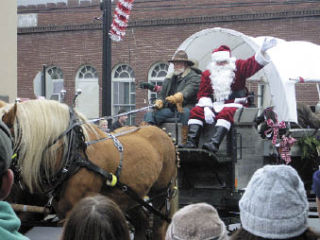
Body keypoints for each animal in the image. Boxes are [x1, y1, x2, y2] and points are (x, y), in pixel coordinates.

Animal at [1, 99, 178, 238]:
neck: (73, 154)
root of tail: (164, 133)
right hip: (130, 196)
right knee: (141, 222)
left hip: (161, 193)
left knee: (158, 227)